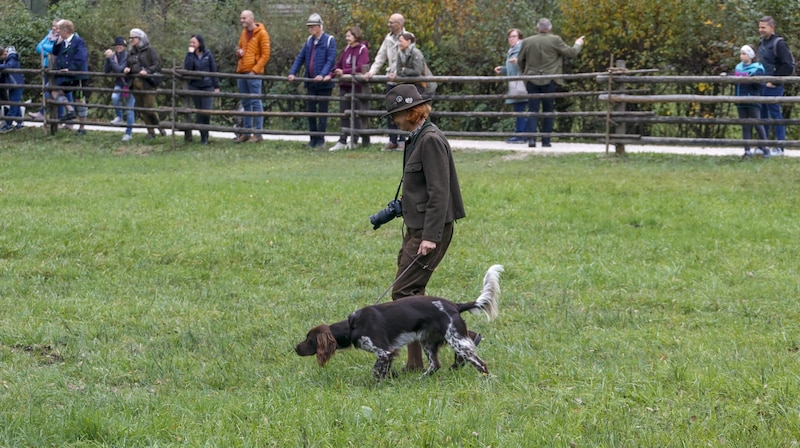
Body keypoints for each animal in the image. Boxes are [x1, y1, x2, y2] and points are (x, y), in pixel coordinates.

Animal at [296, 264, 504, 380]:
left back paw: (486, 380)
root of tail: (454, 305)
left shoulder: (384, 351)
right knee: (434, 365)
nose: (295, 348)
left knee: (481, 363)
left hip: (456, 340)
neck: (352, 325)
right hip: (428, 341)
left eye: (309, 339)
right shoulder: (388, 354)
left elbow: (376, 371)